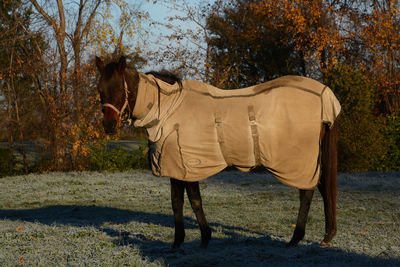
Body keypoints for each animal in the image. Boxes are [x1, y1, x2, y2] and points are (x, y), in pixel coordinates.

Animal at [94, 56, 340, 249]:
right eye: (99, 89)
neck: (169, 109)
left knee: (307, 192)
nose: (108, 125)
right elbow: (180, 201)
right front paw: (183, 240)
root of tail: (324, 96)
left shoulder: (187, 165)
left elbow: (192, 201)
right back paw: (325, 236)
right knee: (322, 188)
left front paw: (200, 238)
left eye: (119, 89)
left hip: (299, 161)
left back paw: (295, 238)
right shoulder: (178, 168)